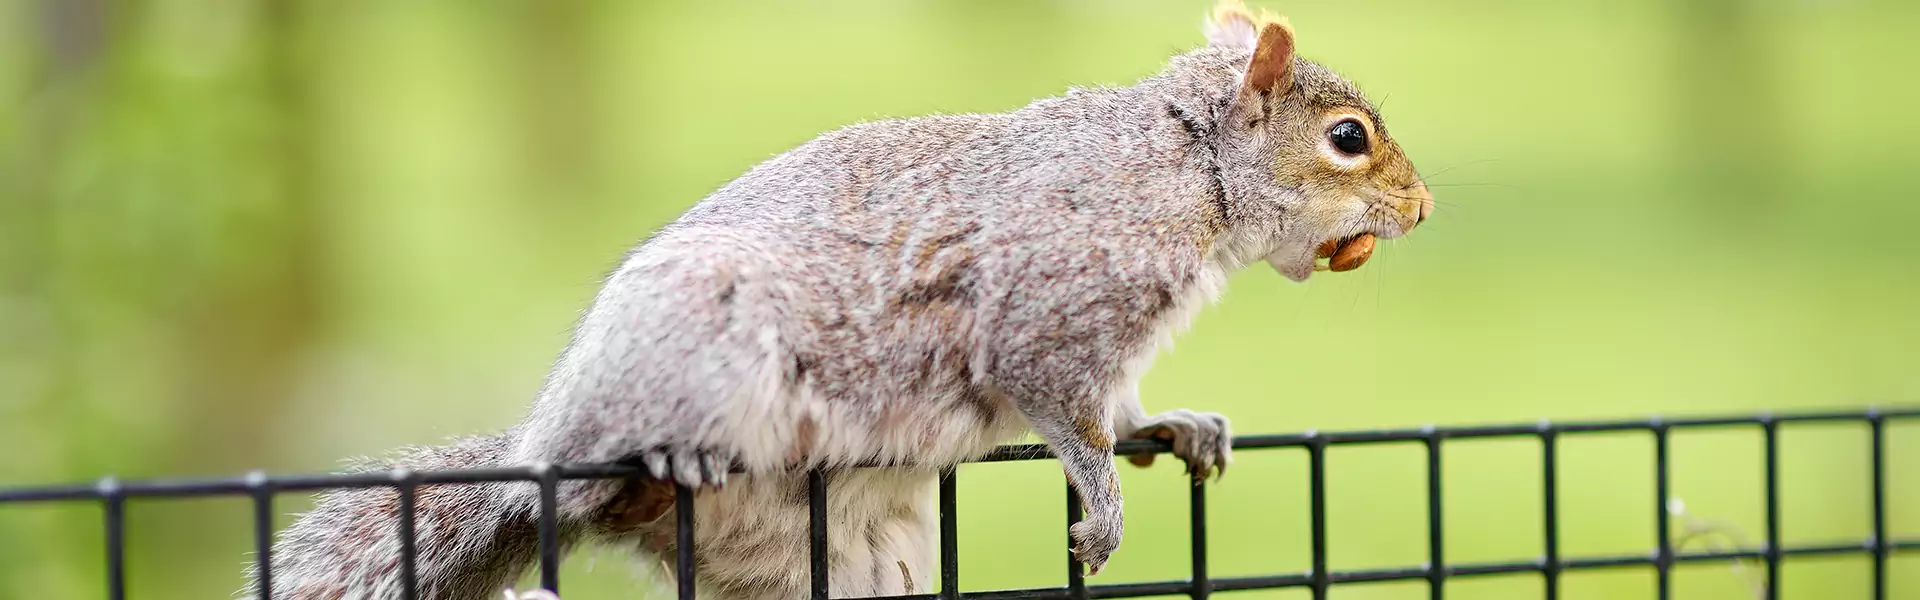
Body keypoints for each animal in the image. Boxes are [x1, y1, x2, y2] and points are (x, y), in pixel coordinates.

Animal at [249, 2, 1433, 598]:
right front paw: (1103, 505)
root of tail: (542, 443)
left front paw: (1176, 427)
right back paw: (652, 465)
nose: (1421, 207)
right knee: (595, 488)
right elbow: (1068, 416)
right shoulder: (1049, 313)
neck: (1187, 170)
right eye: (1347, 140)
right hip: (697, 350)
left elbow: (1124, 409)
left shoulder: (1115, 345)